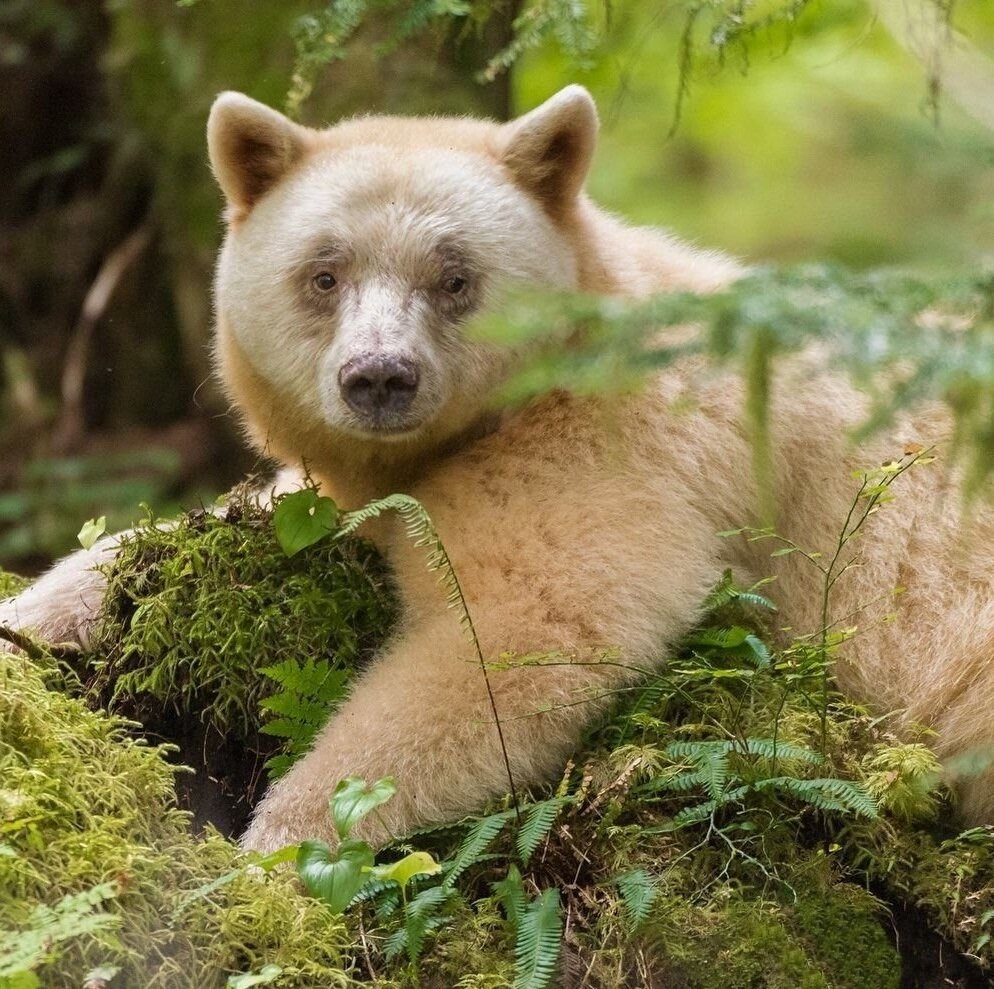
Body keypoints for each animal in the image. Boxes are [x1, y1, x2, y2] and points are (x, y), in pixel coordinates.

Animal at [1, 85, 992, 848]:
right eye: (324, 273)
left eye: (455, 276)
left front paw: (272, 851)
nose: (379, 377)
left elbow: (522, 631)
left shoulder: (612, 450)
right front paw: (35, 609)